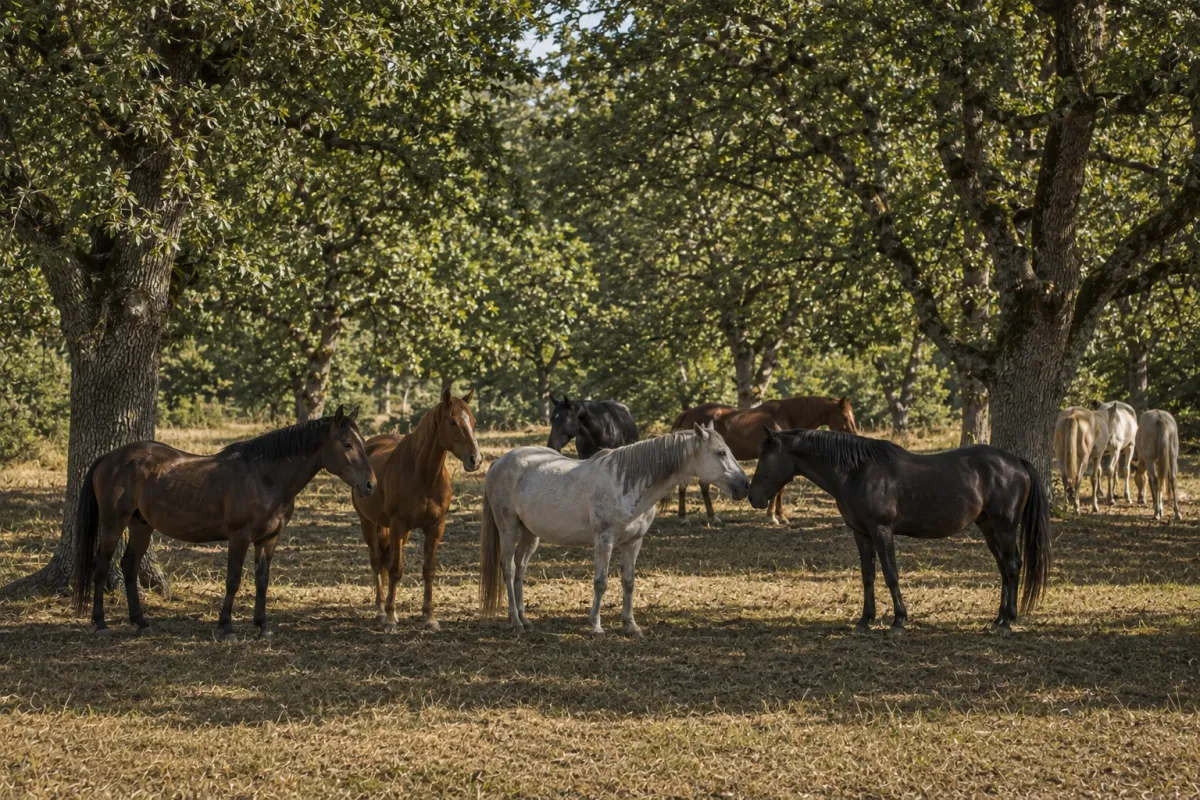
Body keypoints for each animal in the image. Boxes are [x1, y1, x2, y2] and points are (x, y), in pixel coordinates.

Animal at [72, 406, 374, 641]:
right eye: (347, 445)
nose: (370, 485)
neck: (264, 477)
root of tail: (109, 458)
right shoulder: (239, 537)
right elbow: (233, 580)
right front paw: (227, 627)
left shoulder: (269, 539)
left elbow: (262, 581)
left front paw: (263, 626)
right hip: (113, 523)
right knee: (101, 566)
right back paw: (101, 624)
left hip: (141, 525)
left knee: (130, 566)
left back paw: (141, 623)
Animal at [352, 388, 483, 631]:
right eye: (453, 422)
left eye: (474, 423)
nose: (475, 460)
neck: (423, 475)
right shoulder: (398, 525)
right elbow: (395, 570)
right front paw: (391, 618)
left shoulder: (435, 527)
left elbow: (428, 570)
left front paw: (429, 617)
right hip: (369, 523)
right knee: (377, 562)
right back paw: (380, 611)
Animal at [480, 422, 750, 636]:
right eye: (720, 452)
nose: (745, 485)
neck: (627, 482)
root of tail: (499, 462)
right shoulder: (605, 539)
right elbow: (600, 582)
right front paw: (596, 626)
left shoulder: (633, 542)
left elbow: (628, 582)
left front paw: (631, 625)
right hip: (508, 528)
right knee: (508, 568)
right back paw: (515, 622)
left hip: (530, 533)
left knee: (520, 569)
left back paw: (525, 620)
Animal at [668, 395, 858, 525]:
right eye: (845, 417)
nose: (855, 436)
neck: (787, 415)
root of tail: (687, 413)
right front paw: (772, 516)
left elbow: (780, 489)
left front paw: (780, 516)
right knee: (684, 487)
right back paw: (684, 518)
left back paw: (712, 517)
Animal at [749, 428, 1050, 633]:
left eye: (765, 457)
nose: (752, 497)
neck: (857, 472)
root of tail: (1017, 462)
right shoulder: (861, 533)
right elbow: (868, 576)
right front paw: (865, 620)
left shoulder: (882, 531)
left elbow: (890, 574)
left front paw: (898, 620)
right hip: (988, 527)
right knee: (1004, 569)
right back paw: (999, 617)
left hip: (1005, 527)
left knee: (1011, 566)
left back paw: (1008, 620)